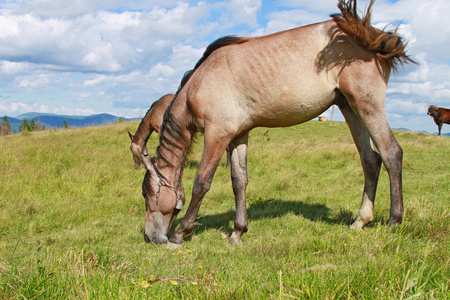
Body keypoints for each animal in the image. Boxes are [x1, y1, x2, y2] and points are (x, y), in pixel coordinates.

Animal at [138, 0, 414, 244]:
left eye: (147, 195)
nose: (150, 237)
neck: (200, 82)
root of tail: (371, 34)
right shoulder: (238, 136)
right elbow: (239, 182)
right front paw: (238, 232)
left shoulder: (217, 134)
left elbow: (201, 183)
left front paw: (181, 233)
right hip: (350, 108)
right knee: (370, 160)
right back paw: (360, 220)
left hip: (367, 105)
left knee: (391, 153)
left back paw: (394, 221)